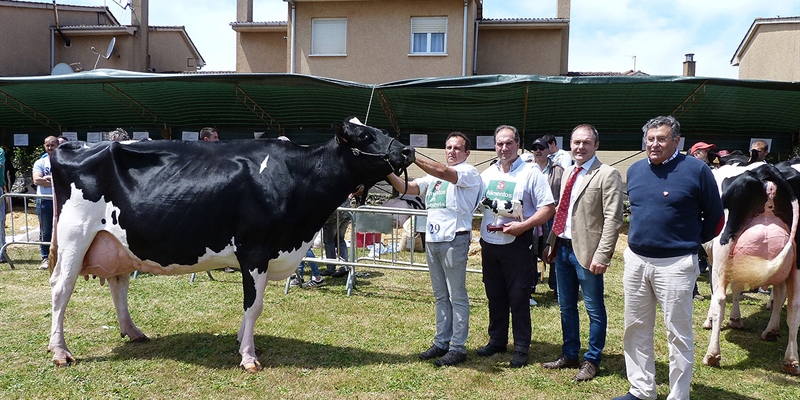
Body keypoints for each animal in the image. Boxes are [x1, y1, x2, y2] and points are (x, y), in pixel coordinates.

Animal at [47, 115, 416, 372]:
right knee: (61, 289)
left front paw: (243, 342)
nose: (407, 150)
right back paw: (60, 351)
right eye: (365, 135)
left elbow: (251, 306)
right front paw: (248, 357)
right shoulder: (254, 250)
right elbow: (254, 305)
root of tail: (70, 147)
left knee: (118, 283)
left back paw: (133, 331)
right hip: (74, 236)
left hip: (118, 242)